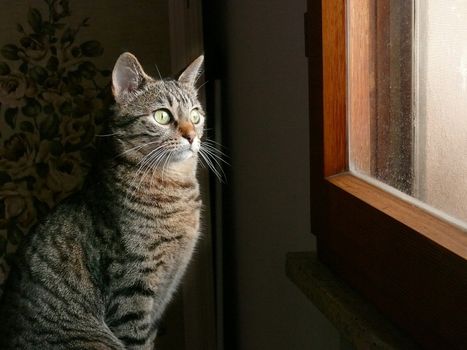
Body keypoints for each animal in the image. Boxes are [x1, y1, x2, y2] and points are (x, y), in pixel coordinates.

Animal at [0, 52, 207, 350]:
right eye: (162, 116)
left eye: (196, 115)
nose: (192, 136)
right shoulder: (132, 289)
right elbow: (137, 339)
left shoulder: (161, 296)